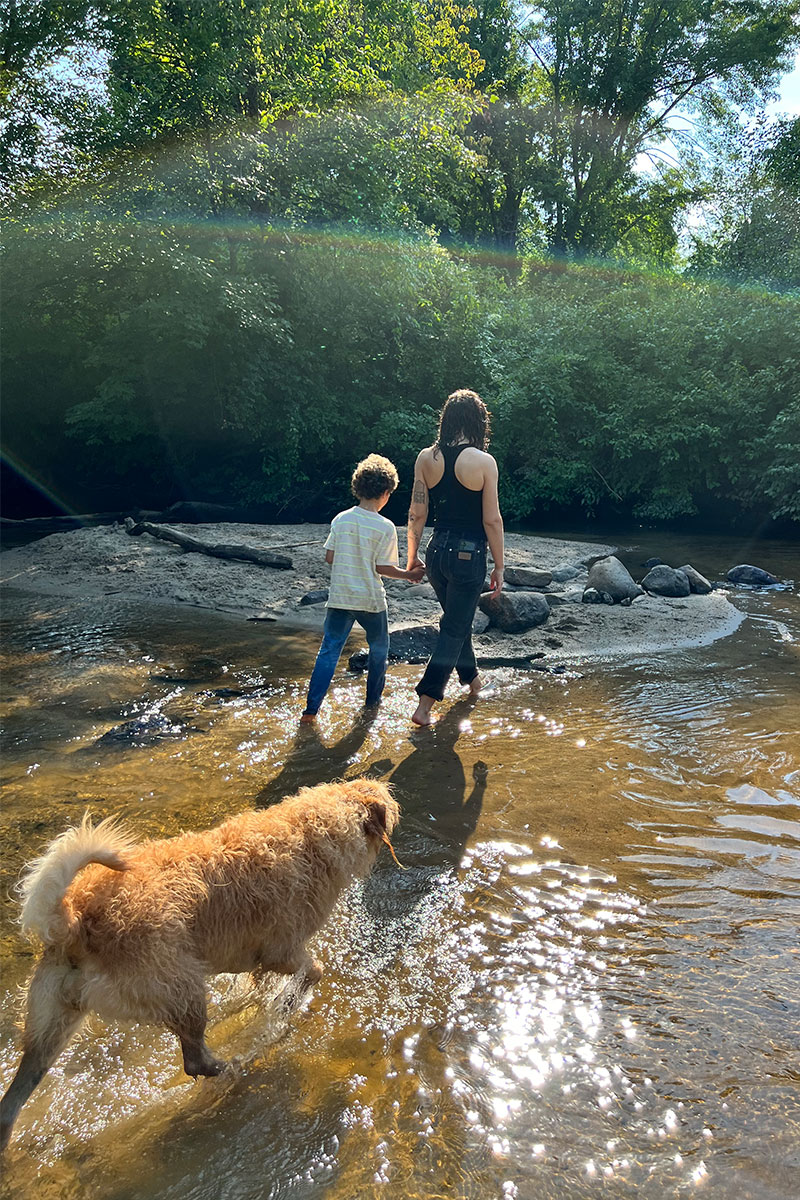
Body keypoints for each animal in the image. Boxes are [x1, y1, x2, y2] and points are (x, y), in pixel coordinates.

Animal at [0, 772, 400, 1147]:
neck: (312, 834)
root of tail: (74, 921)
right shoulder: (282, 951)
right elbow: (311, 971)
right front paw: (286, 1006)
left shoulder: (257, 961)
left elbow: (260, 987)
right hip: (183, 991)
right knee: (196, 1059)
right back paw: (235, 1065)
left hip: (52, 1024)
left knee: (13, 1099)